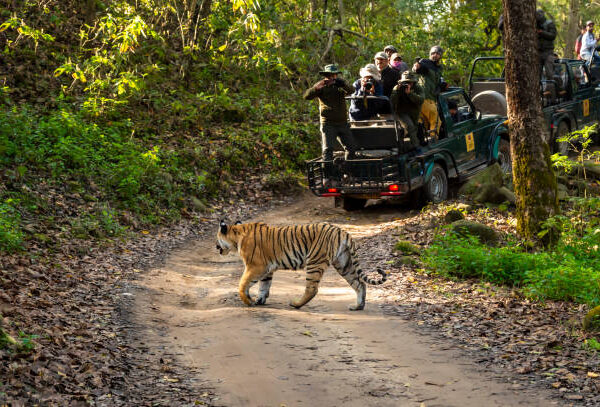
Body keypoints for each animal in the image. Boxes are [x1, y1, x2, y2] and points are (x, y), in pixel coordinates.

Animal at [217, 222, 390, 310]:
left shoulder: (256, 266)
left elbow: (242, 283)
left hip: (315, 261)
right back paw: (358, 306)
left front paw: (248, 301)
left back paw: (296, 304)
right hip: (344, 263)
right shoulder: (267, 269)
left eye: (217, 238)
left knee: (312, 289)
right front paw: (259, 300)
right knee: (359, 283)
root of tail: (342, 231)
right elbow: (264, 286)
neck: (237, 235)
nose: (215, 246)